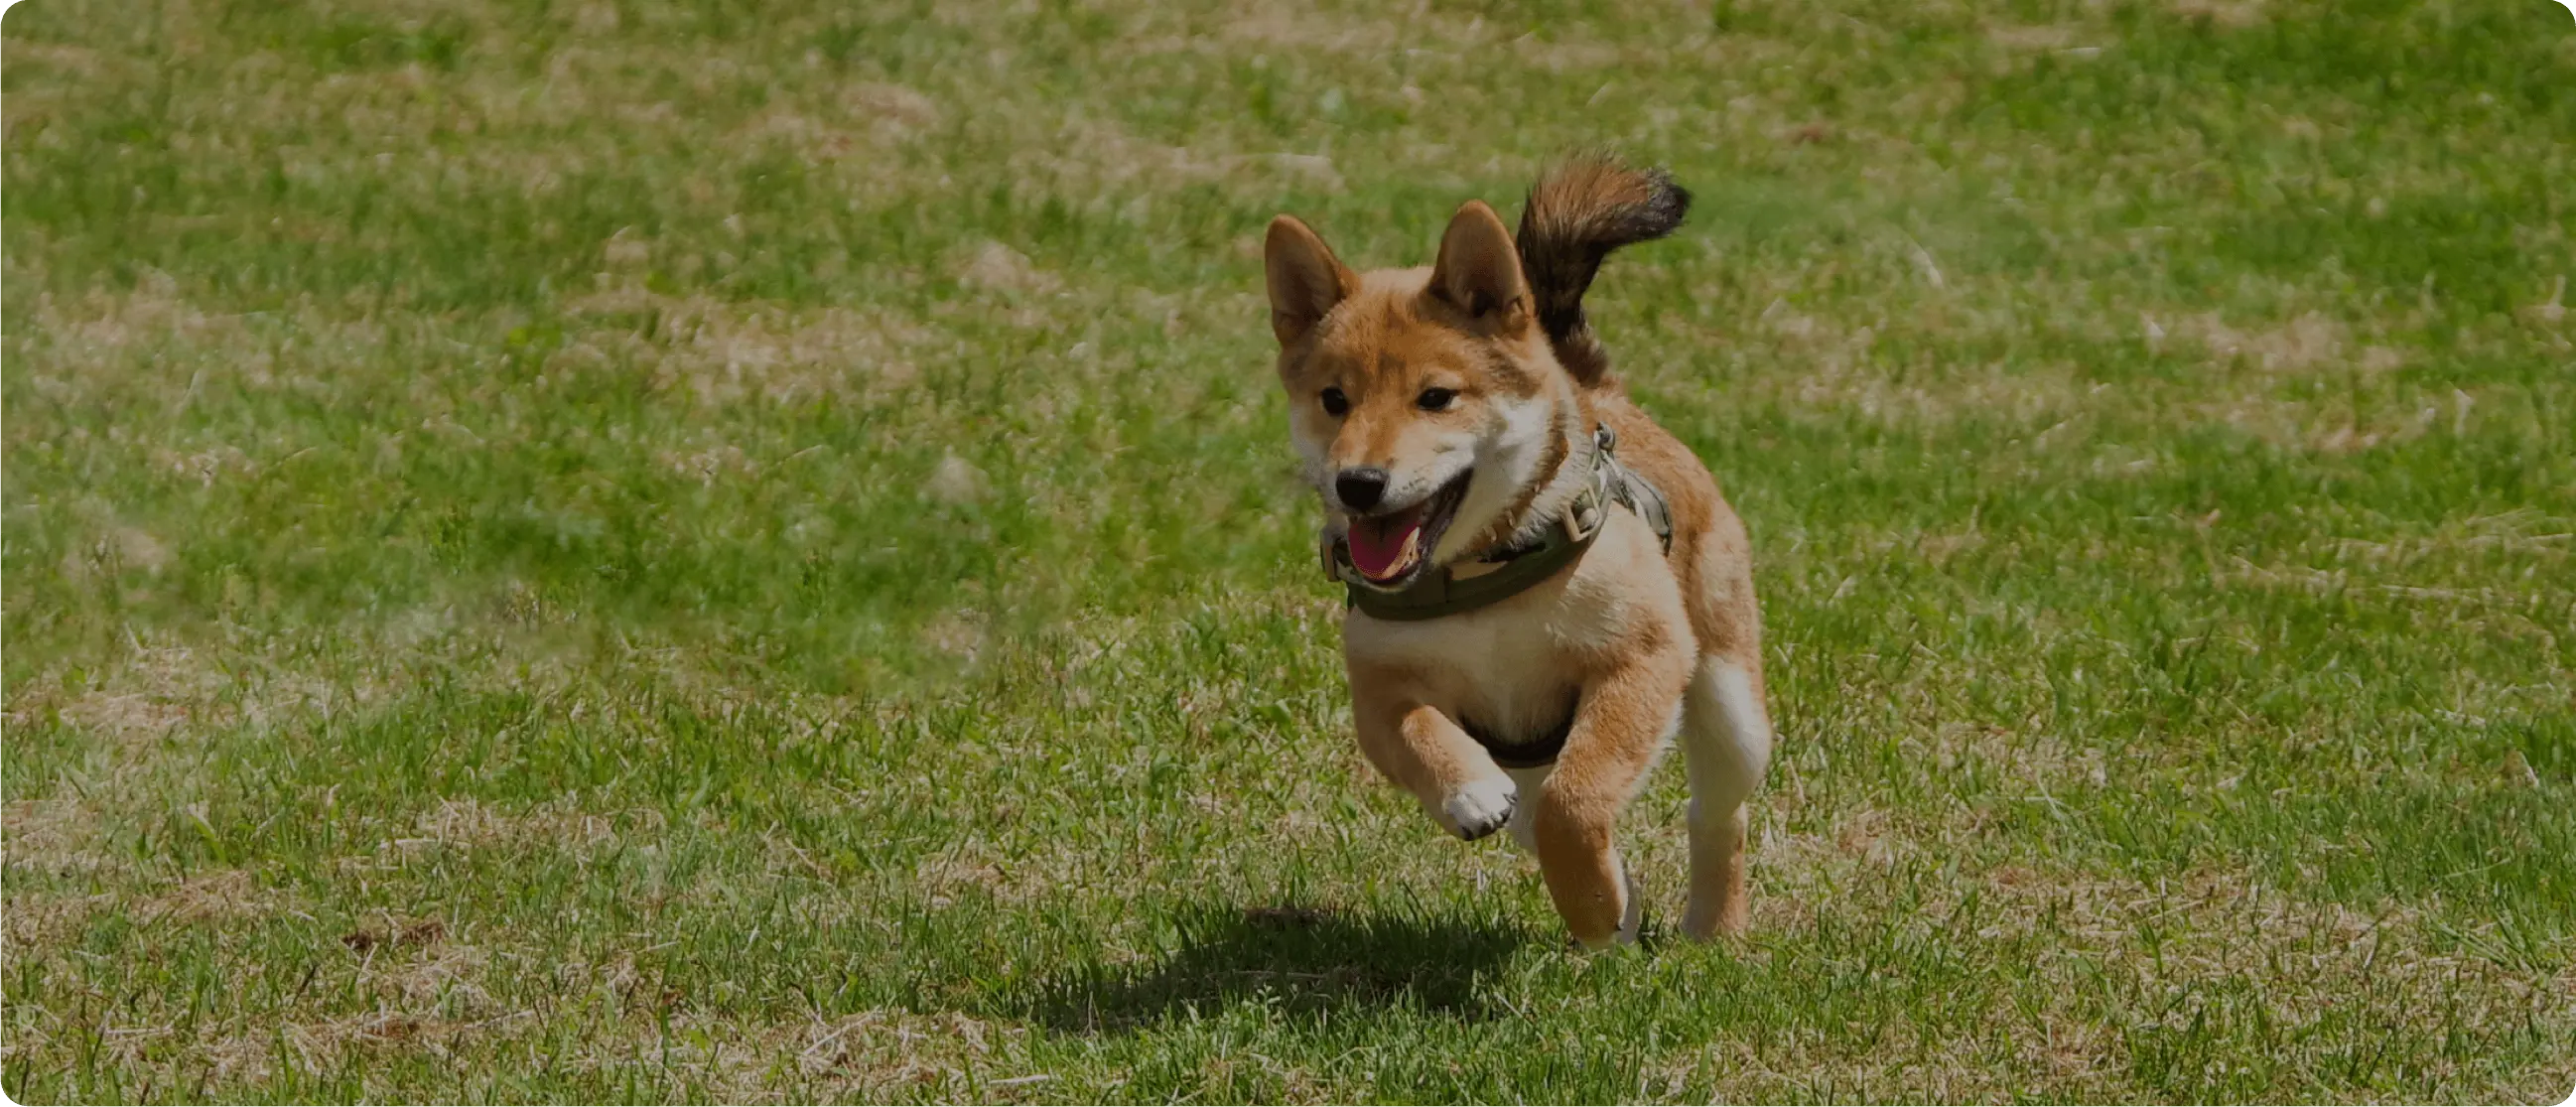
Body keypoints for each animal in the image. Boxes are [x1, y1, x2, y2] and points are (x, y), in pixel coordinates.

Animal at [1262, 155, 1772, 947]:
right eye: (1333, 400)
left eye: (1436, 397)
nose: (1358, 484)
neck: (1481, 571)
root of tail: (1601, 395)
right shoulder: (1377, 689)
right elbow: (1418, 731)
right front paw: (1469, 793)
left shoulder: (1641, 658)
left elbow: (1578, 802)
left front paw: (1590, 900)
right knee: (1546, 814)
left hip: (1729, 703)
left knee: (1714, 813)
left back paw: (1709, 929)